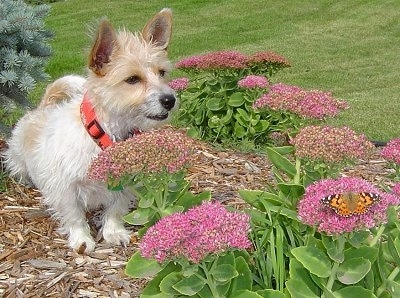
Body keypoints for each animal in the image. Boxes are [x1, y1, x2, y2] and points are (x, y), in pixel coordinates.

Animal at [3, 8, 177, 253]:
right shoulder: (64, 187)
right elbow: (74, 216)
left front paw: (113, 232)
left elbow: (115, 209)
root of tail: (43, 107)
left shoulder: (123, 185)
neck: (104, 137)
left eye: (161, 73)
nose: (170, 100)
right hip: (17, 162)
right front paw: (82, 239)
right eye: (132, 79)